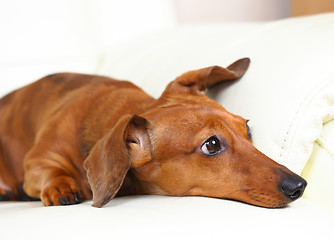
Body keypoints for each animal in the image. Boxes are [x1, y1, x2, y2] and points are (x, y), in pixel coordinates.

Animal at [0, 57, 306, 206]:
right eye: (211, 145)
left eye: (248, 129)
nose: (299, 186)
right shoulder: (38, 160)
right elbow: (50, 171)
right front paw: (62, 186)